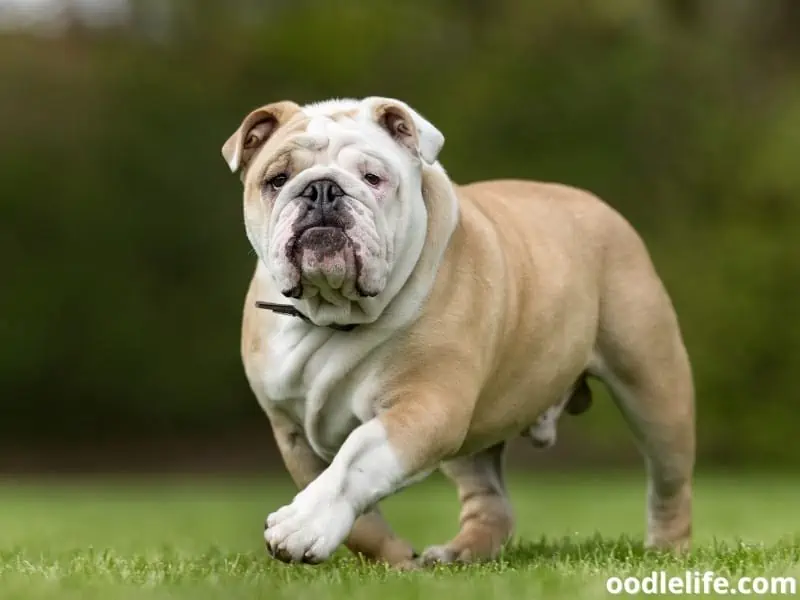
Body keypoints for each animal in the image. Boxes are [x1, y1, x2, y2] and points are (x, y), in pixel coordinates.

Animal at [220, 97, 692, 568]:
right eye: (277, 180)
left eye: (373, 178)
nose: (321, 190)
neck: (332, 314)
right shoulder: (294, 434)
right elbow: (361, 522)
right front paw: (394, 559)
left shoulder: (423, 407)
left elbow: (355, 461)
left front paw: (303, 525)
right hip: (472, 431)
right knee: (491, 501)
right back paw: (460, 553)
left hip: (653, 386)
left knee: (669, 480)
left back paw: (667, 550)